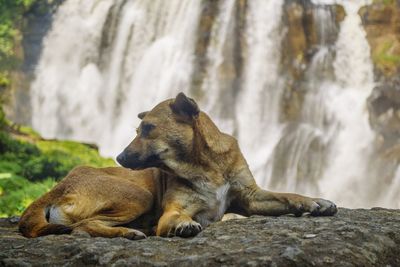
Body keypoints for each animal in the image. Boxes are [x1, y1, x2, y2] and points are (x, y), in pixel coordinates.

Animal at [117, 91, 336, 237]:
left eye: (148, 128)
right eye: (138, 130)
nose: (119, 157)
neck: (208, 167)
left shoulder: (251, 197)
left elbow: (287, 195)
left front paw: (314, 201)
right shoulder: (173, 211)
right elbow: (176, 216)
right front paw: (183, 224)